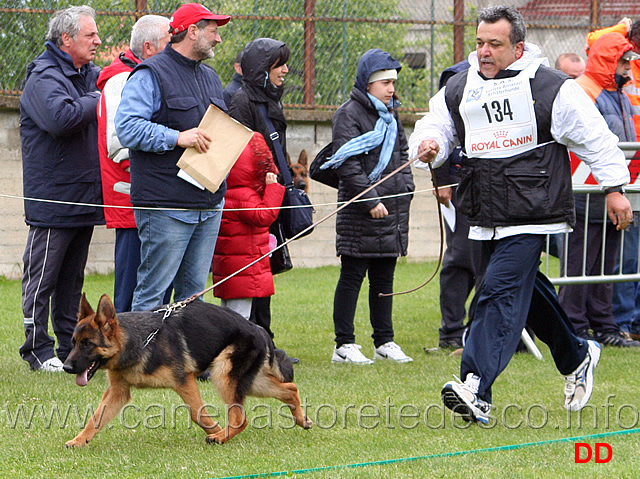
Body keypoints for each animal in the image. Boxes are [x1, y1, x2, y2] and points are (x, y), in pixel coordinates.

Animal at [62, 294, 312, 448]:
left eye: (87, 344)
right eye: (73, 342)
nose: (66, 367)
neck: (139, 340)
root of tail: (259, 329)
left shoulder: (184, 380)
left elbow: (197, 413)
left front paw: (215, 430)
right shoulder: (118, 392)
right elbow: (96, 418)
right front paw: (79, 440)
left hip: (224, 376)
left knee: (240, 418)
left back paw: (221, 437)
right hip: (247, 381)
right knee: (290, 388)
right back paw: (302, 420)